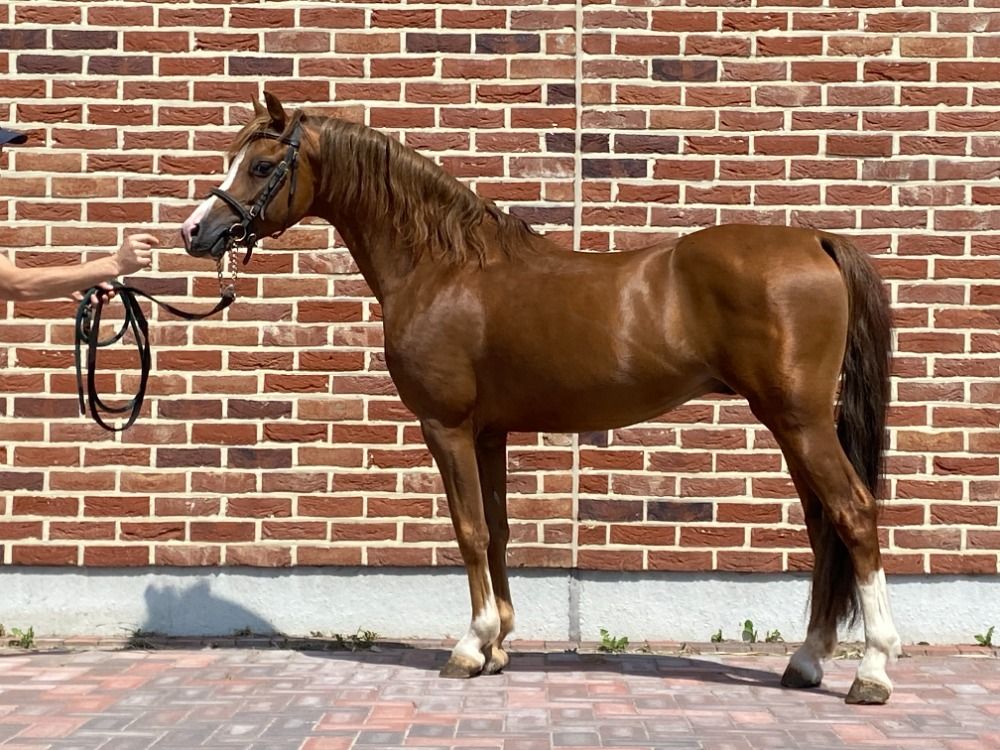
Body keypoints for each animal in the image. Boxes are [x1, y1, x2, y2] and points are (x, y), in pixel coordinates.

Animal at [181, 92, 901, 704]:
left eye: (262, 165)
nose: (195, 232)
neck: (444, 268)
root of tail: (815, 241)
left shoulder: (446, 426)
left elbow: (469, 530)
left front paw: (470, 647)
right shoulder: (489, 431)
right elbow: (498, 530)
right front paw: (498, 644)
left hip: (799, 421)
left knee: (854, 515)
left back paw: (871, 671)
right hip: (792, 424)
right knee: (822, 526)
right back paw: (806, 662)